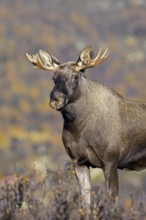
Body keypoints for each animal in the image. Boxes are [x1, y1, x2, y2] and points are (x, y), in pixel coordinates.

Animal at [26, 46, 146, 210]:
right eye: (53, 78)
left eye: (76, 77)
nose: (56, 100)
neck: (78, 129)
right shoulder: (78, 161)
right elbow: (86, 204)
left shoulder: (110, 161)